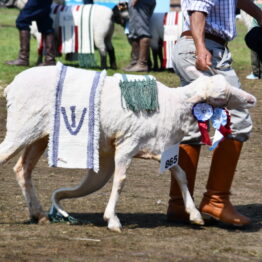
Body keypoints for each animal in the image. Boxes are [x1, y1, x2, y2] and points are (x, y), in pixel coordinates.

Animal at [0, 65, 255, 231]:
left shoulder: (159, 150)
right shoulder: (126, 145)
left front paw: (195, 214)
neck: (174, 105)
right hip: (21, 129)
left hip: (39, 136)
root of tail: (11, 86)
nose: (251, 99)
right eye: (222, 95)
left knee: (22, 169)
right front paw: (112, 220)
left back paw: (39, 214)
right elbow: (120, 181)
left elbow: (181, 174)